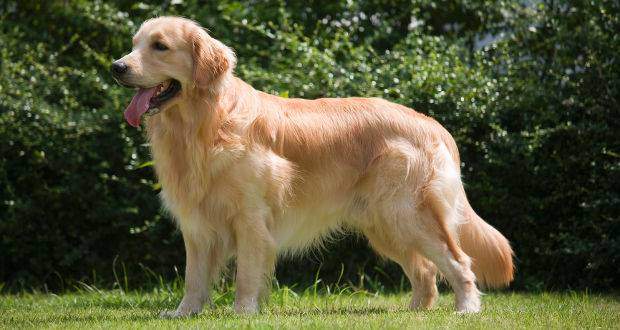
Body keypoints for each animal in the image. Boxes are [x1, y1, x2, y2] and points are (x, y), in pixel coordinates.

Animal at [111, 16, 512, 318]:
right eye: (135, 43)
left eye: (160, 46)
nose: (117, 67)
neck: (205, 125)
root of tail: (432, 124)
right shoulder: (196, 223)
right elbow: (194, 277)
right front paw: (184, 313)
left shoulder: (251, 217)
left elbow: (246, 273)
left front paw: (243, 312)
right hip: (384, 224)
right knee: (426, 270)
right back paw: (414, 311)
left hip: (406, 214)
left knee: (459, 261)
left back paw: (466, 308)